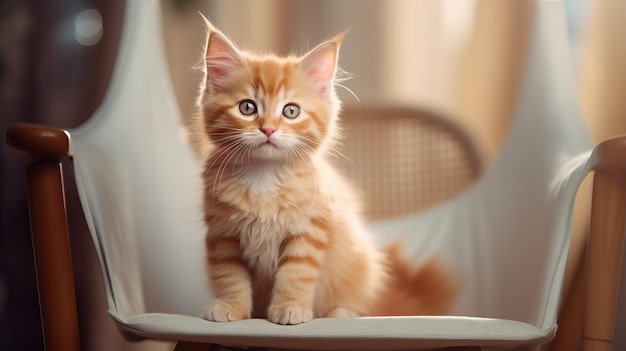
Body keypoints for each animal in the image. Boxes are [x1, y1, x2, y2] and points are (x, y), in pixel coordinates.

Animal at [195, 20, 454, 328]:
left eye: (290, 111)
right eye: (247, 107)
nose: (268, 129)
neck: (264, 175)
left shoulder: (309, 232)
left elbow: (296, 274)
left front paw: (290, 307)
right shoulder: (223, 235)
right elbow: (230, 276)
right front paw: (231, 307)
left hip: (359, 264)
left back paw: (340, 314)